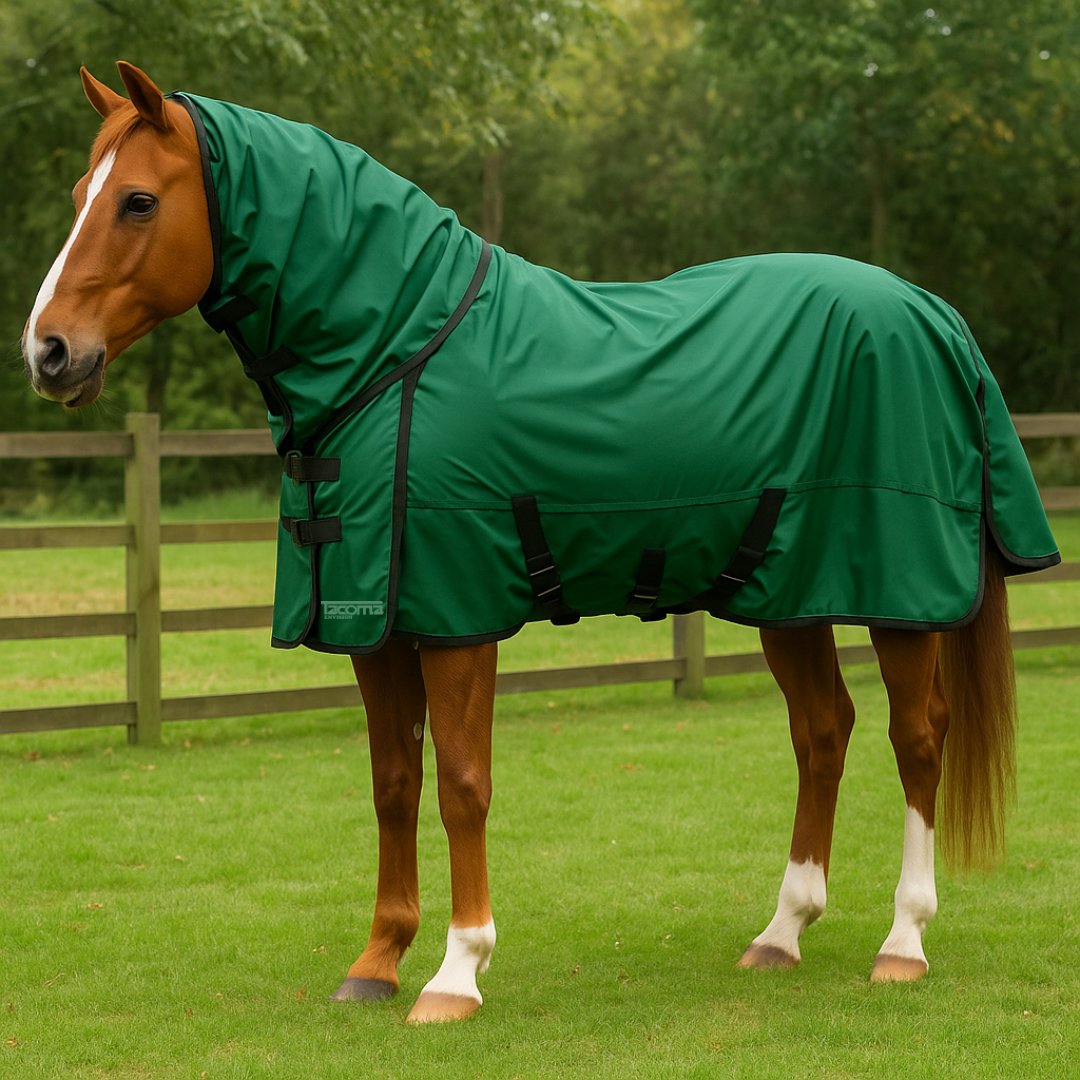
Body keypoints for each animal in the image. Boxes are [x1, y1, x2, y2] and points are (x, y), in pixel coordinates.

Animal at [23, 63, 1060, 1023]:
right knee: (823, 731)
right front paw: (376, 964)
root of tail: (932, 313)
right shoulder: (376, 623)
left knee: (916, 736)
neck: (397, 352)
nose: (48, 352)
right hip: (788, 592)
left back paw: (903, 942)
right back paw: (781, 932)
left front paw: (456, 973)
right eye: (76, 196)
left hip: (898, 594)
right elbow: (393, 784)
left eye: (138, 200)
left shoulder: (456, 619)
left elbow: (461, 785)